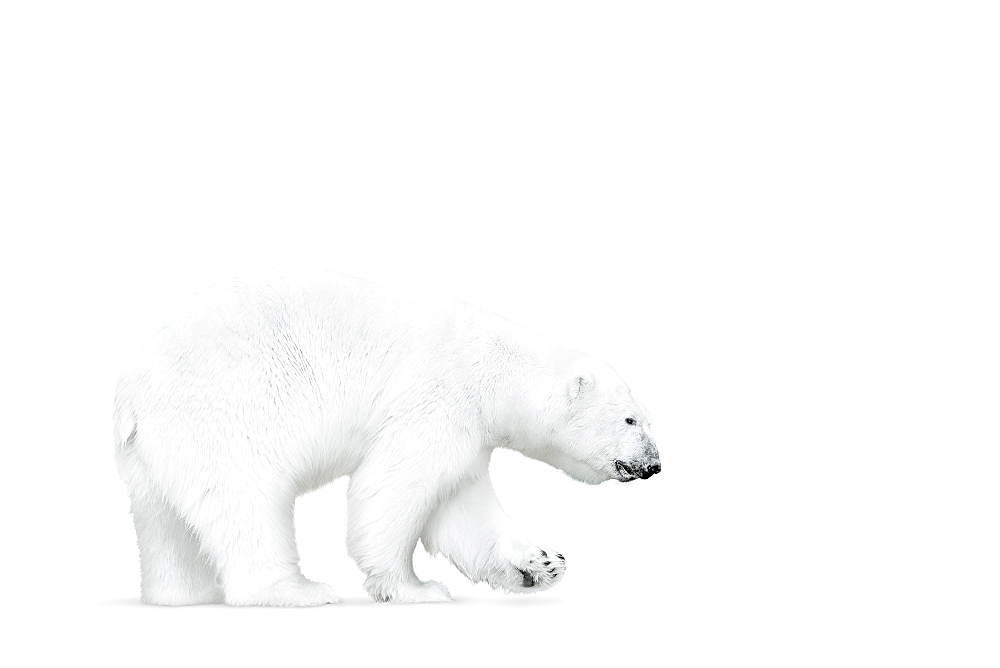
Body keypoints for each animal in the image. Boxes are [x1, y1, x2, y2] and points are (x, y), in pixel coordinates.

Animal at [115, 272, 656, 604]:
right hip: (225, 412)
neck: (494, 363)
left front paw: (540, 563)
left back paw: (183, 595)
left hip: (153, 451)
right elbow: (392, 488)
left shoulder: (471, 436)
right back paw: (298, 590)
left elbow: (462, 508)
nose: (654, 464)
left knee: (165, 522)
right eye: (632, 420)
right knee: (246, 502)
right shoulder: (437, 398)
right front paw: (416, 588)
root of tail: (131, 392)